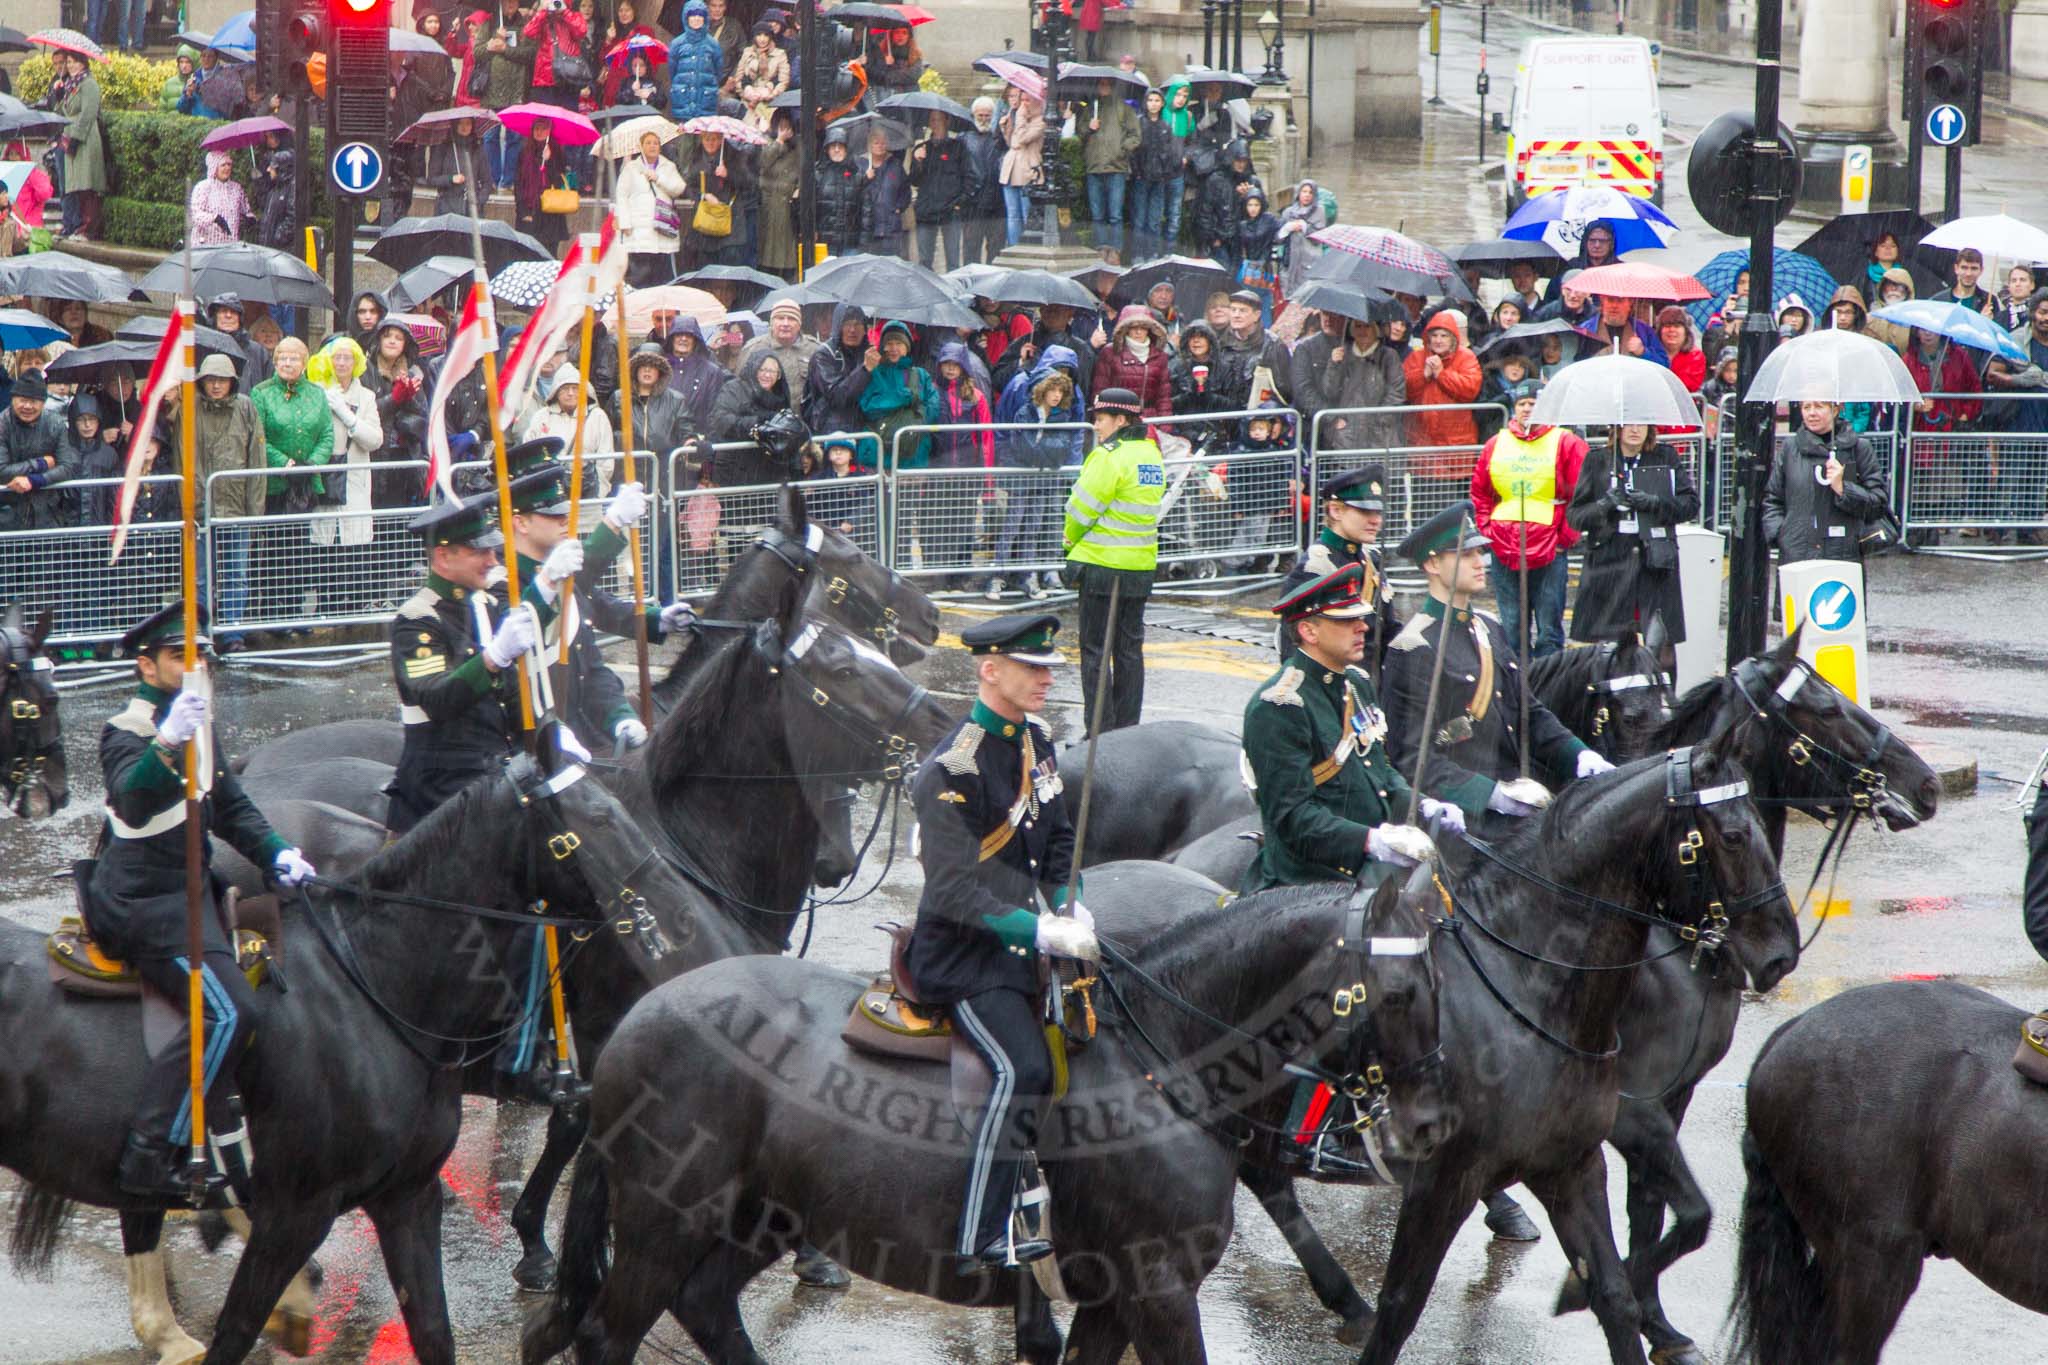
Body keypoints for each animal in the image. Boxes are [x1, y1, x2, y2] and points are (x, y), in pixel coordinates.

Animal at [4, 736, 688, 1365]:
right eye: (595, 818)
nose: (675, 900)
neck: (375, 986)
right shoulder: (295, 1214)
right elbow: (235, 1333)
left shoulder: (406, 1198)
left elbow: (433, 1332)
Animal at [520, 863, 1458, 1365]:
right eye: (1402, 990)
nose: (1431, 1125)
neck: (1160, 1062)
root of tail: (641, 1015)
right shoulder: (1157, 1290)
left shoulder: (1113, 1297)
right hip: (663, 1220)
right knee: (606, 1334)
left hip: (761, 1215)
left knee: (708, 1303)